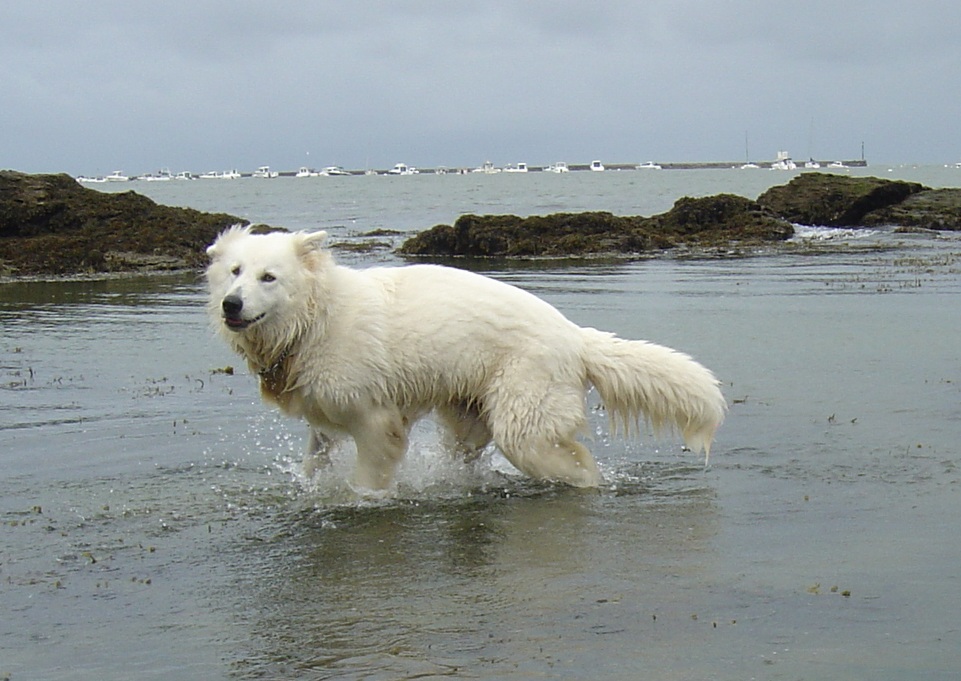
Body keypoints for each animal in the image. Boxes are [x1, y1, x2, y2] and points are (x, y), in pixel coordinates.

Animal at [206, 227, 724, 488]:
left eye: (269, 277)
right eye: (235, 271)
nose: (230, 305)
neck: (316, 317)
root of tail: (576, 337)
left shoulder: (375, 417)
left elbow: (369, 476)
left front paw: (361, 500)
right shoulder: (324, 420)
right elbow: (314, 462)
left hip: (523, 422)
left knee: (576, 463)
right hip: (466, 417)